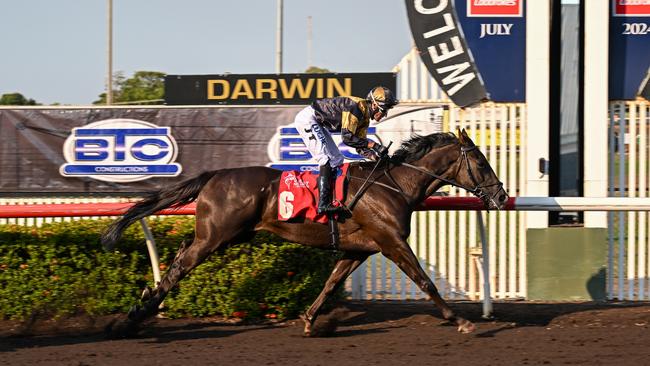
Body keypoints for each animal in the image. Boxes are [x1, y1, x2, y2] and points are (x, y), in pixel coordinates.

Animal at [102, 129, 506, 338]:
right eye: (481, 161)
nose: (502, 196)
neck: (394, 184)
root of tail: (215, 175)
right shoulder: (391, 242)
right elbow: (425, 282)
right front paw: (461, 320)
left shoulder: (359, 249)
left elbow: (329, 283)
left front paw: (310, 320)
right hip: (216, 236)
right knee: (181, 264)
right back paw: (135, 315)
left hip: (225, 235)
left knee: (181, 253)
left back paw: (143, 306)